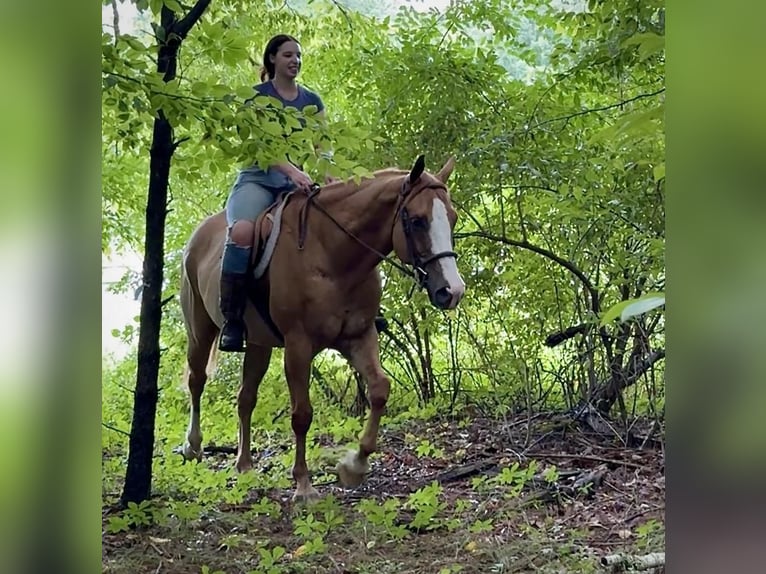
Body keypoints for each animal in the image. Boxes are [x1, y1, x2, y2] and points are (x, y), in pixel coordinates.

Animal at [180, 155, 468, 502]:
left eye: (451, 218)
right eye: (417, 221)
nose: (452, 291)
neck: (332, 254)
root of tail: (198, 236)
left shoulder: (358, 336)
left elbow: (379, 390)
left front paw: (354, 466)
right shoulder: (298, 346)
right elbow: (302, 415)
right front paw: (303, 486)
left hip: (259, 344)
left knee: (245, 397)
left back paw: (245, 465)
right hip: (200, 330)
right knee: (197, 381)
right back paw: (193, 446)